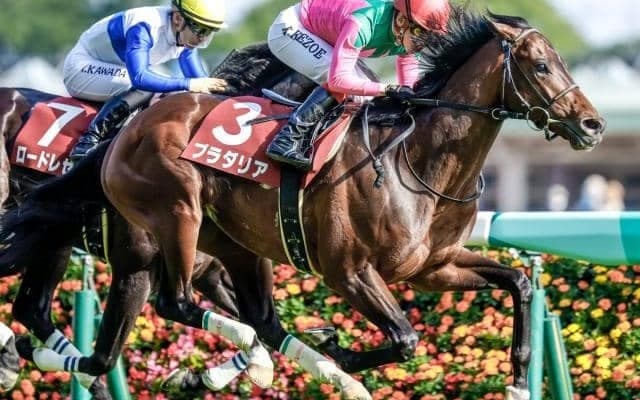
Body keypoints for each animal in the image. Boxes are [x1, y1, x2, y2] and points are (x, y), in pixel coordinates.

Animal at [0, 8, 605, 400]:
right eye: (541, 66)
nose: (592, 124)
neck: (415, 161)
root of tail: (129, 131)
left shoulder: (431, 267)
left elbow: (519, 282)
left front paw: (518, 376)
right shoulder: (348, 270)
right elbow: (405, 338)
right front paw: (339, 350)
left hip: (230, 246)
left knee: (257, 320)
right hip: (175, 219)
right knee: (173, 304)